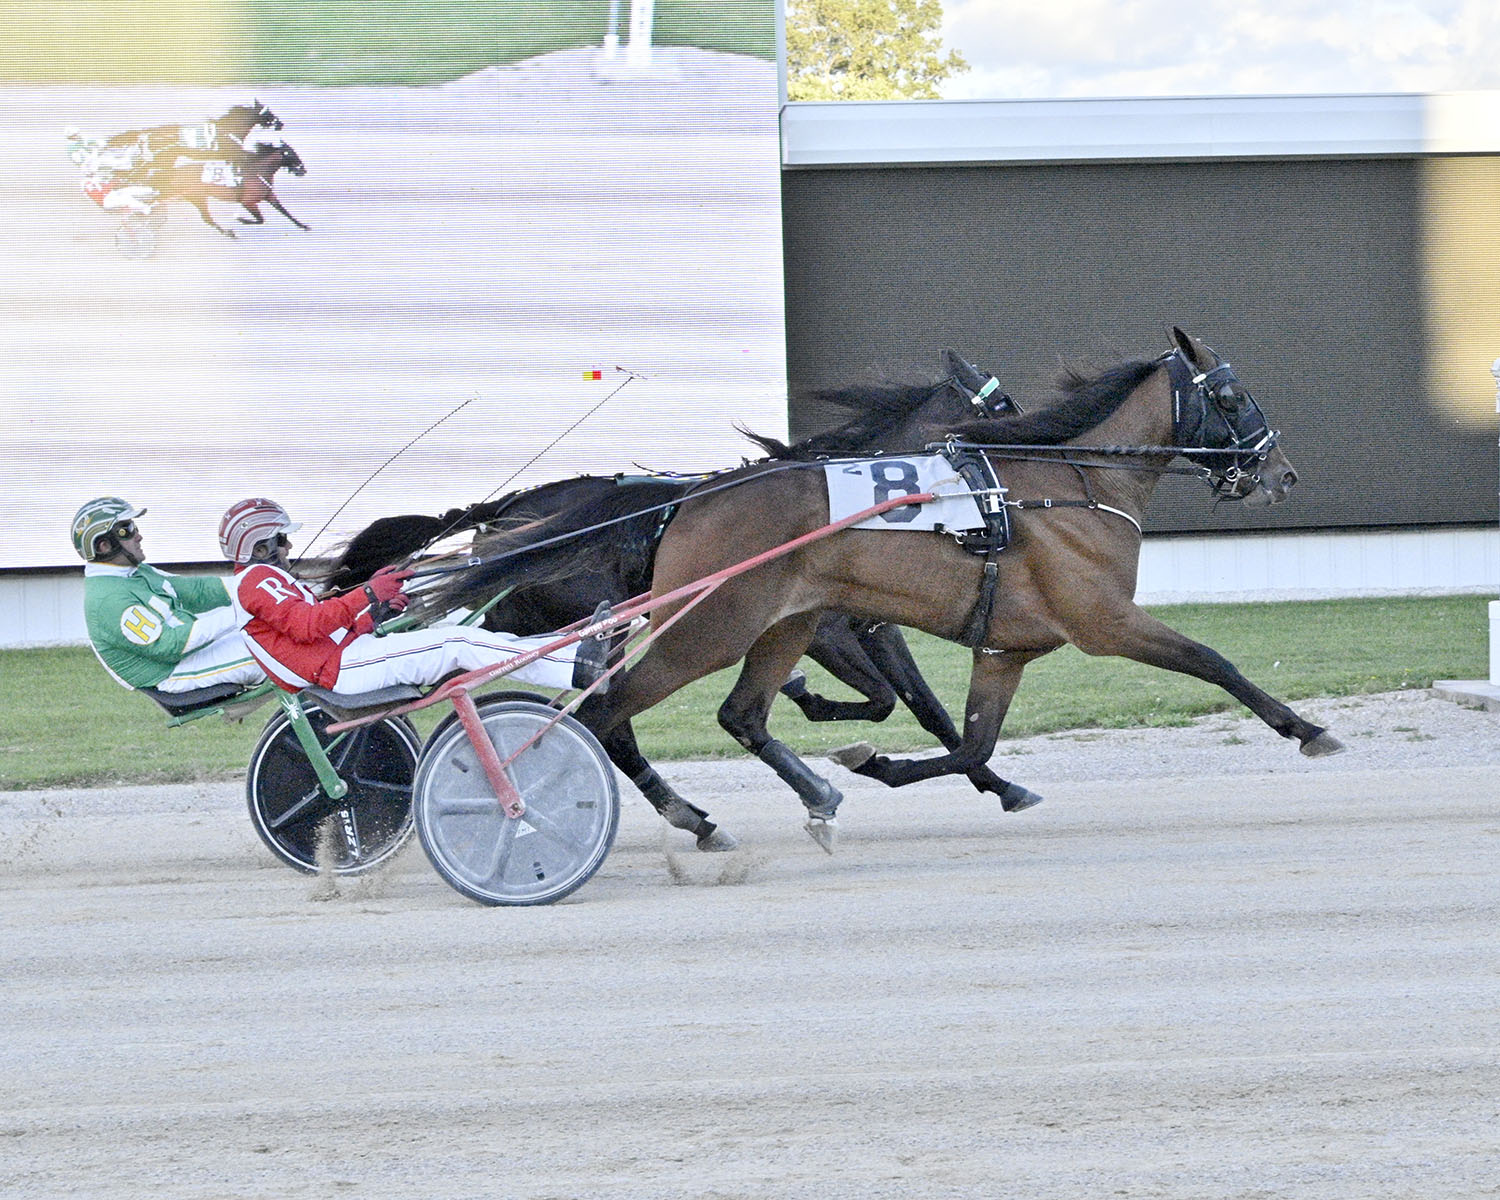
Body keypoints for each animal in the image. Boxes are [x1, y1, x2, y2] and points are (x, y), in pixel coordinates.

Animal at [147, 141, 310, 238]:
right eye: (290, 154)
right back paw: (228, 232)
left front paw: (303, 225)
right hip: (197, 197)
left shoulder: (269, 196)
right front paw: (241, 219)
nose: (303, 170)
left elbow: (285, 212)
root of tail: (174, 172)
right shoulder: (248, 202)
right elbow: (260, 220)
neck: (257, 172)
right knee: (207, 218)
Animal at [345, 351, 1038, 846]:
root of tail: (505, 512)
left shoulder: (870, 625)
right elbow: (881, 700)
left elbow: (925, 708)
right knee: (611, 722)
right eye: (1005, 402)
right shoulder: (824, 628)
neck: (840, 504)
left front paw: (1000, 784)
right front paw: (810, 705)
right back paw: (691, 815)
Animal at [429, 330, 1344, 852]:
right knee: (600, 713)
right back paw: (632, 814)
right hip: (709, 626)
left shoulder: (1004, 647)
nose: (1283, 473)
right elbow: (1214, 661)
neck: (1064, 487)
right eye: (1231, 394)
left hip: (779, 624)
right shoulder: (1104, 621)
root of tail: (687, 498)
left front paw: (880, 764)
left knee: (737, 713)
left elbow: (965, 741)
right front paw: (1307, 730)